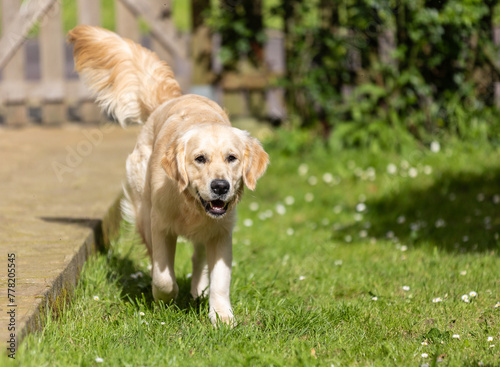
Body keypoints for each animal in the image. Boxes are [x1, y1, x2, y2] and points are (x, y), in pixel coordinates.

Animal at [69, 25, 270, 324]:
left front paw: (222, 316)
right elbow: (162, 276)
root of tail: (174, 98)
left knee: (200, 257)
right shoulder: (160, 224)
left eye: (232, 158)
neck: (190, 206)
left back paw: (199, 288)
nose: (220, 186)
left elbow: (220, 279)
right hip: (142, 210)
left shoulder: (222, 232)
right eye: (200, 158)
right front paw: (168, 296)